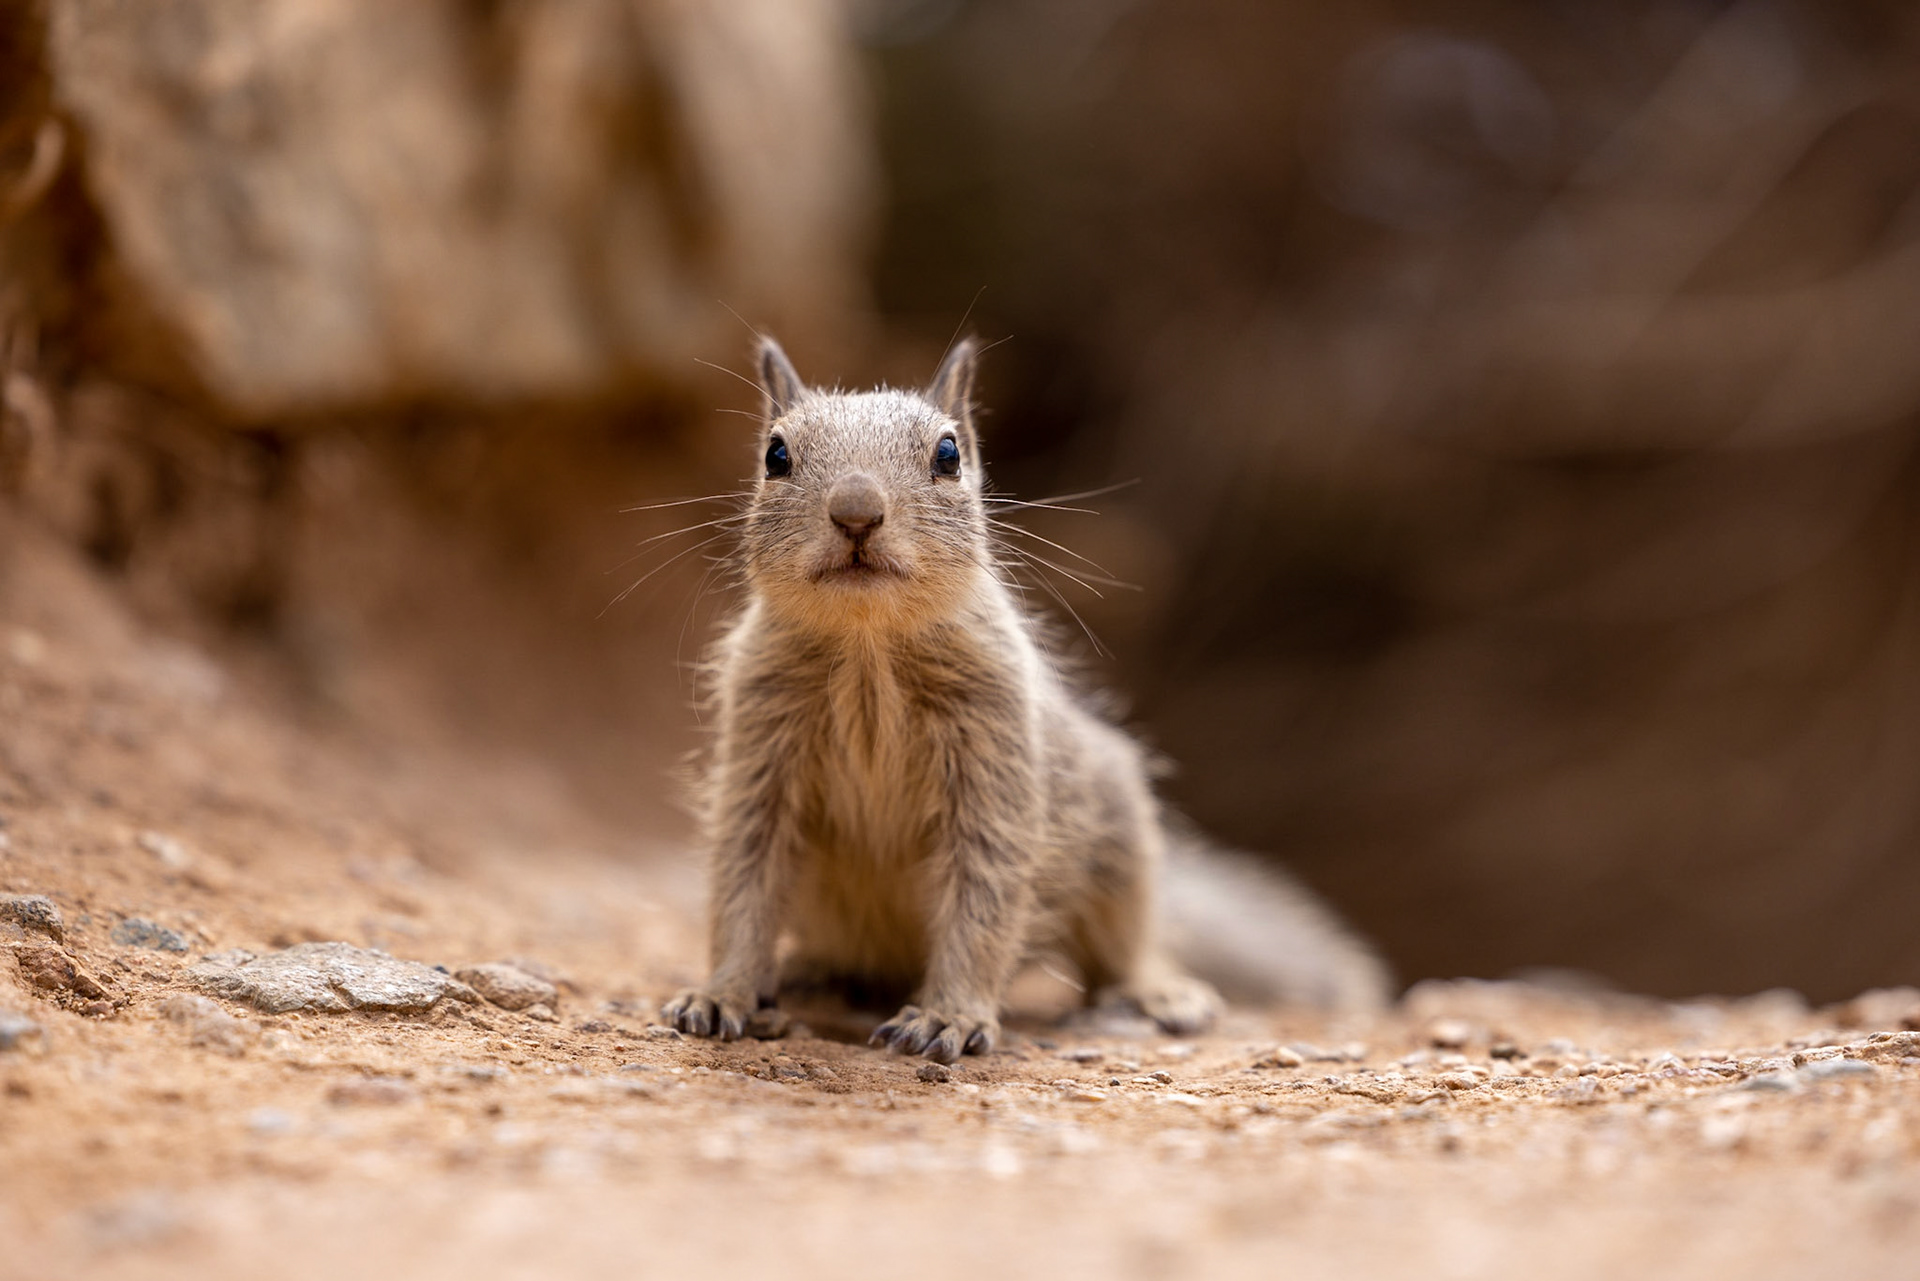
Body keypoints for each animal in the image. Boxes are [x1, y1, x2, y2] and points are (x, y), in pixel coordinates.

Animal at [662, 338, 1388, 1063]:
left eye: (949, 454)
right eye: (774, 455)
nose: (856, 513)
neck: (868, 648)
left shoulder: (994, 758)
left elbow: (983, 896)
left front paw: (948, 1015)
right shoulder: (758, 753)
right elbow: (743, 884)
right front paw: (720, 993)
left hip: (1122, 844)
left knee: (1126, 947)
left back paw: (1160, 991)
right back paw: (812, 973)